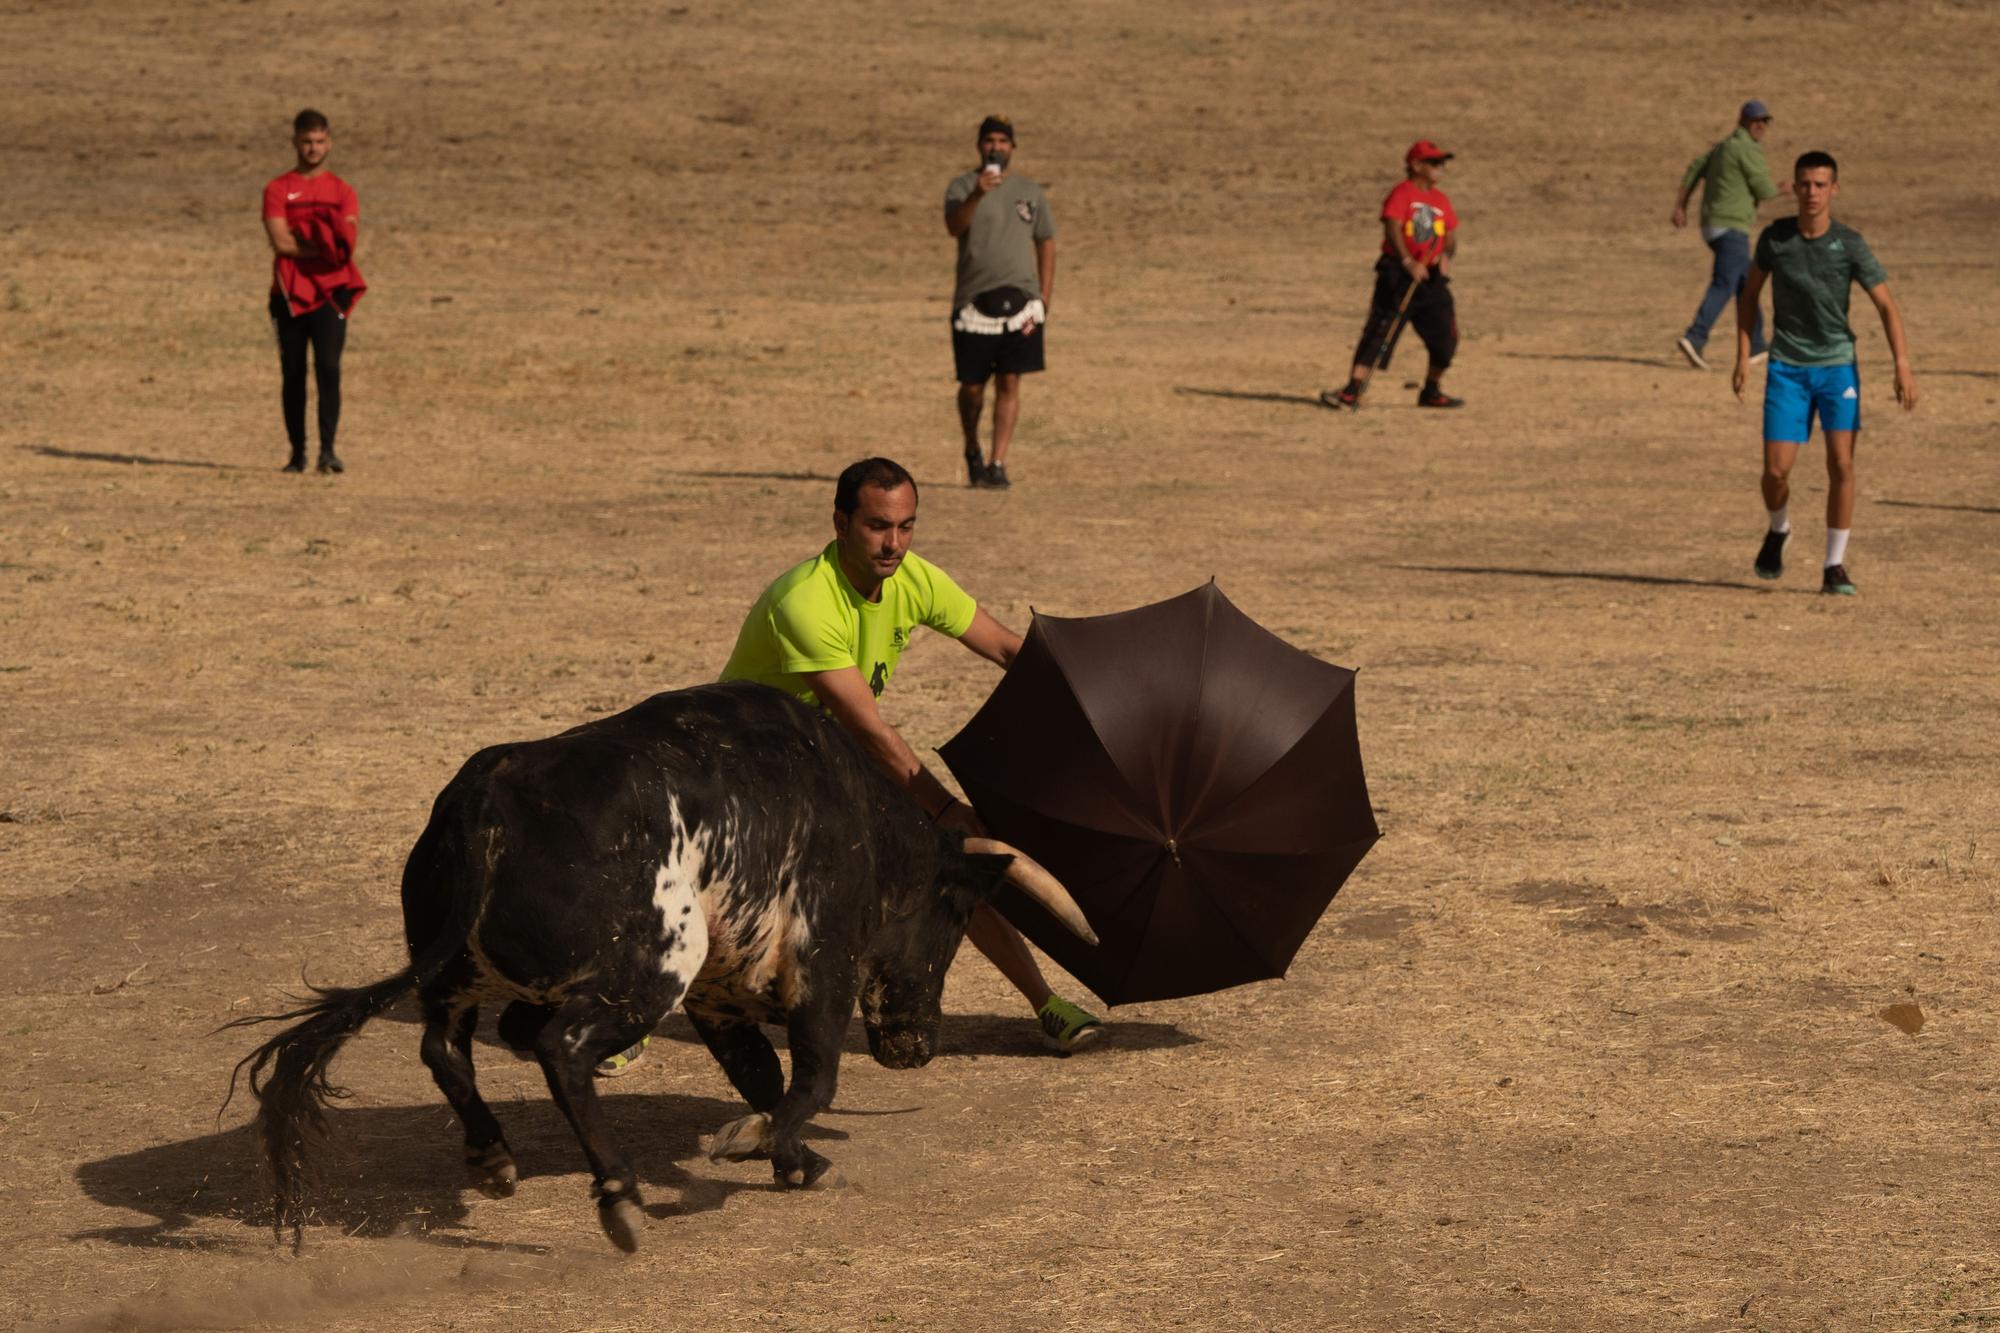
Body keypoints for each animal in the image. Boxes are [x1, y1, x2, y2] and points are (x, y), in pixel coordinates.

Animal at [229, 680, 1096, 1248]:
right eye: (956, 917)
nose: (920, 1046)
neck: (860, 820)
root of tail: (487, 793)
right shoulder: (821, 969)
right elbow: (811, 1078)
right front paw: (760, 1148)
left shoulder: (719, 994)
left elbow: (764, 1076)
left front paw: (794, 1158)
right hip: (650, 973)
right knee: (560, 1049)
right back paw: (620, 1198)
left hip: (456, 974)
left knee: (448, 1045)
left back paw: (494, 1159)